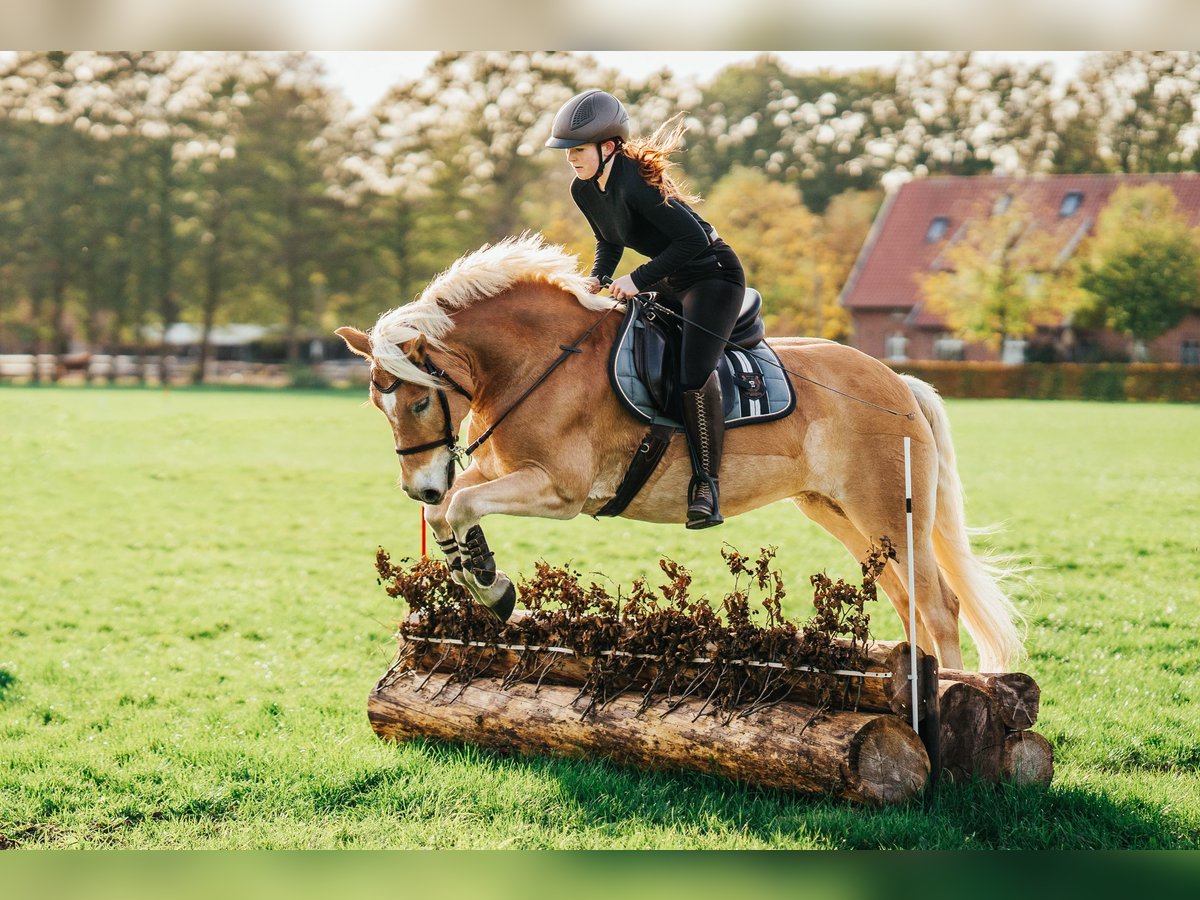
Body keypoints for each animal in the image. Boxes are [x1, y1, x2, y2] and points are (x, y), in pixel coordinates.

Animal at [338, 236, 1022, 672]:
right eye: (378, 405)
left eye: (418, 403)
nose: (417, 485)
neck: (537, 360)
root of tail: (896, 382)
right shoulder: (497, 471)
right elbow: (449, 511)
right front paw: (480, 575)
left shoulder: (558, 491)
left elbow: (460, 508)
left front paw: (489, 586)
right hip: (837, 512)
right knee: (909, 603)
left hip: (886, 511)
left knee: (938, 607)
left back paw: (949, 700)